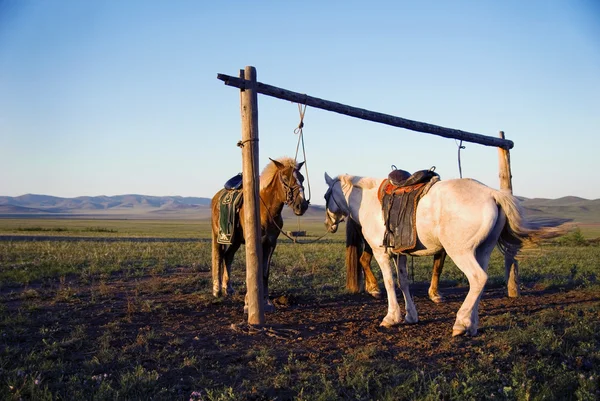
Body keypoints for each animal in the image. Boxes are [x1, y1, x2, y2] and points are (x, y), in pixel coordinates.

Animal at [211, 155, 310, 310]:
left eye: (302, 178)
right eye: (285, 178)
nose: (302, 205)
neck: (266, 211)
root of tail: (216, 197)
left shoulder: (271, 243)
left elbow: (265, 272)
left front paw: (266, 301)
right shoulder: (255, 242)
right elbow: (253, 271)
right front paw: (248, 302)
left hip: (235, 240)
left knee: (228, 257)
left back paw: (229, 288)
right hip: (218, 235)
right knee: (218, 256)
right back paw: (217, 290)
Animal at [326, 170, 548, 336]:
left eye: (326, 196)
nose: (329, 225)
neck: (368, 201)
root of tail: (492, 193)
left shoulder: (382, 253)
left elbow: (389, 283)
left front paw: (391, 317)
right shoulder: (400, 253)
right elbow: (403, 282)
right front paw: (410, 316)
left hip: (460, 252)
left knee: (478, 279)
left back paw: (460, 322)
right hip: (483, 251)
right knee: (480, 283)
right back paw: (472, 325)